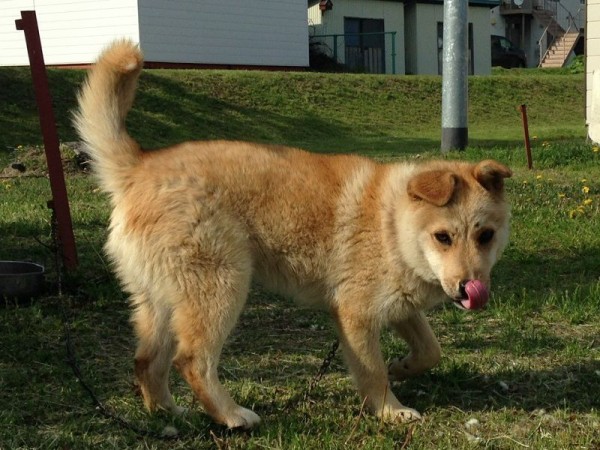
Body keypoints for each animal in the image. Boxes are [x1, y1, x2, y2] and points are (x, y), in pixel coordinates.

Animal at [74, 39, 510, 428]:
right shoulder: (356, 315)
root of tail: (138, 168)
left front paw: (403, 366)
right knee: (192, 360)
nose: (470, 288)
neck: (391, 225)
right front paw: (390, 410)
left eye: (485, 236)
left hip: (161, 303)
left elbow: (430, 351)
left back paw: (168, 413)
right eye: (443, 237)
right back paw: (231, 416)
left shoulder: (401, 307)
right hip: (221, 289)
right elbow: (374, 373)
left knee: (146, 362)